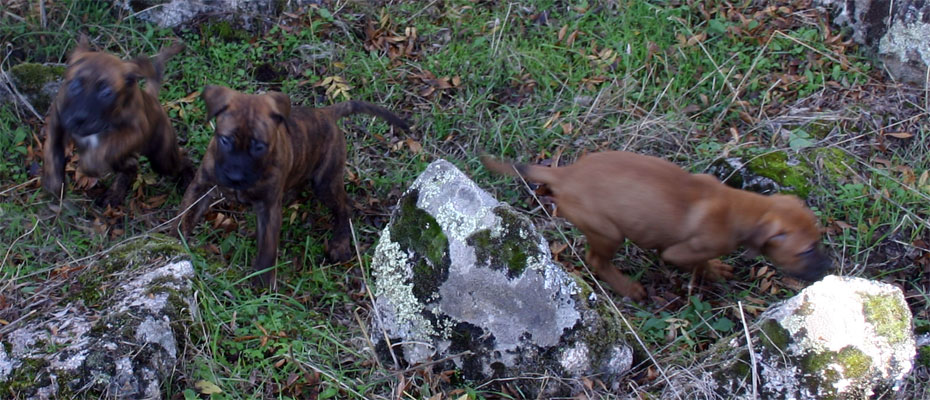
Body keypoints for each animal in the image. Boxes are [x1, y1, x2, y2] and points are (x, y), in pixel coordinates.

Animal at [42, 36, 193, 208]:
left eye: (107, 92)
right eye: (75, 85)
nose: (79, 119)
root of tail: (153, 98)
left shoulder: (135, 130)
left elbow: (108, 146)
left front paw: (90, 163)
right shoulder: (58, 118)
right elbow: (51, 149)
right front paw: (54, 183)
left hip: (162, 158)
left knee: (181, 161)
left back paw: (188, 177)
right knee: (131, 167)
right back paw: (115, 193)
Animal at [178, 86, 410, 288]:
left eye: (259, 146)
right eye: (225, 140)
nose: (235, 177)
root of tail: (325, 112)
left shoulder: (268, 208)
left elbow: (268, 248)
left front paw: (262, 285)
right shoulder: (201, 186)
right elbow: (185, 214)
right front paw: (174, 240)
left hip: (325, 182)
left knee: (345, 205)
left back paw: (340, 244)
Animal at [482, 152, 832, 302]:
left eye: (818, 240)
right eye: (805, 250)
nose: (827, 269)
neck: (741, 208)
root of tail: (566, 174)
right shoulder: (678, 253)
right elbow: (698, 262)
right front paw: (713, 272)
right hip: (608, 231)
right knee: (597, 260)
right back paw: (629, 289)